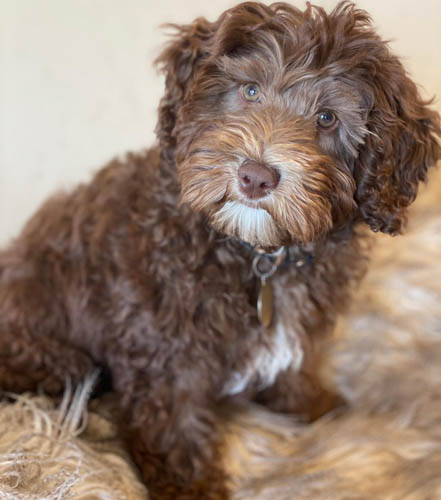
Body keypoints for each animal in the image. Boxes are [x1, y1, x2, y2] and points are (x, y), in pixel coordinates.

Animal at [0, 1, 438, 498]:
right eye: (249, 90)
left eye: (327, 118)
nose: (256, 176)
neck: (259, 252)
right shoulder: (164, 349)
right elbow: (176, 428)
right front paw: (192, 488)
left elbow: (296, 370)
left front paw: (316, 409)